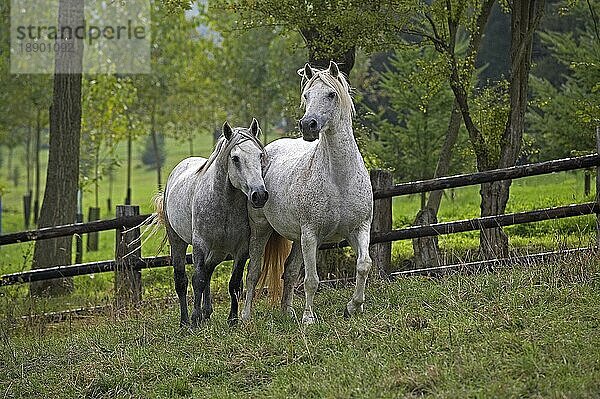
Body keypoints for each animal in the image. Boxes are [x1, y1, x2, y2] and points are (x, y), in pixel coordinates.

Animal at [155, 120, 270, 326]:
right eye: (235, 158)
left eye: (259, 155)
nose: (259, 195)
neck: (224, 204)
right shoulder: (200, 245)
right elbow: (197, 280)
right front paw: (194, 319)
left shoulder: (241, 249)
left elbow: (234, 283)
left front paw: (232, 319)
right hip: (178, 241)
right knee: (182, 280)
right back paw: (185, 322)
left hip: (218, 251)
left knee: (208, 271)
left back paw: (206, 312)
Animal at [241, 62, 372, 324]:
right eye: (306, 95)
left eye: (331, 94)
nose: (307, 125)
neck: (340, 180)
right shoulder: (311, 235)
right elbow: (312, 280)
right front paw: (309, 319)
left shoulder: (359, 228)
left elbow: (364, 265)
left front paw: (354, 307)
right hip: (262, 230)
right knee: (253, 273)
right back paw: (246, 317)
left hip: (296, 238)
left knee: (290, 272)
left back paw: (287, 311)